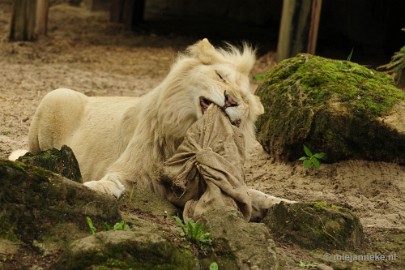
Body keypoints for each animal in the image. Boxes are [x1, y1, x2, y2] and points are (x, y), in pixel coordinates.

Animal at [10, 38, 294, 219]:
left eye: (244, 99)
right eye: (220, 77)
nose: (232, 100)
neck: (186, 135)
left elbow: (256, 194)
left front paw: (288, 204)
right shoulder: (130, 171)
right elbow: (112, 183)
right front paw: (92, 187)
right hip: (57, 95)